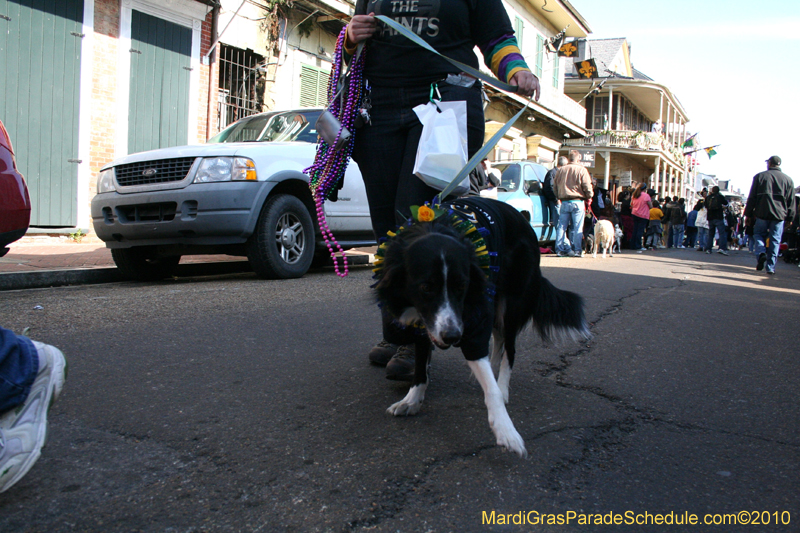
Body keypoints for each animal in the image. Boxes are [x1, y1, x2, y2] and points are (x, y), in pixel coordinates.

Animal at [374, 197, 588, 456]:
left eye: (461, 286)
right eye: (425, 287)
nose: (453, 337)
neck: (434, 226)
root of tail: (525, 223)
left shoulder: (472, 320)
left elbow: (489, 381)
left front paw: (506, 430)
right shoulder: (426, 324)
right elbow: (420, 365)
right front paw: (412, 399)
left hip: (511, 306)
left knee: (509, 350)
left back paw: (503, 386)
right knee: (498, 340)